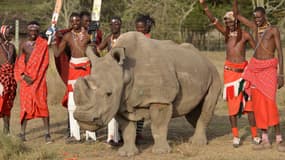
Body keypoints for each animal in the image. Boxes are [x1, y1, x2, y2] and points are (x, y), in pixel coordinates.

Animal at [72, 31, 220, 156]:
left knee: (207, 106)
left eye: (109, 94)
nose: (83, 118)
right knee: (192, 112)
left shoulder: (160, 98)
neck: (125, 72)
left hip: (214, 73)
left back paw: (197, 143)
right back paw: (195, 138)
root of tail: (204, 57)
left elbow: (158, 126)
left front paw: (160, 152)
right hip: (195, 70)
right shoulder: (121, 102)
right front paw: (126, 153)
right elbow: (127, 129)